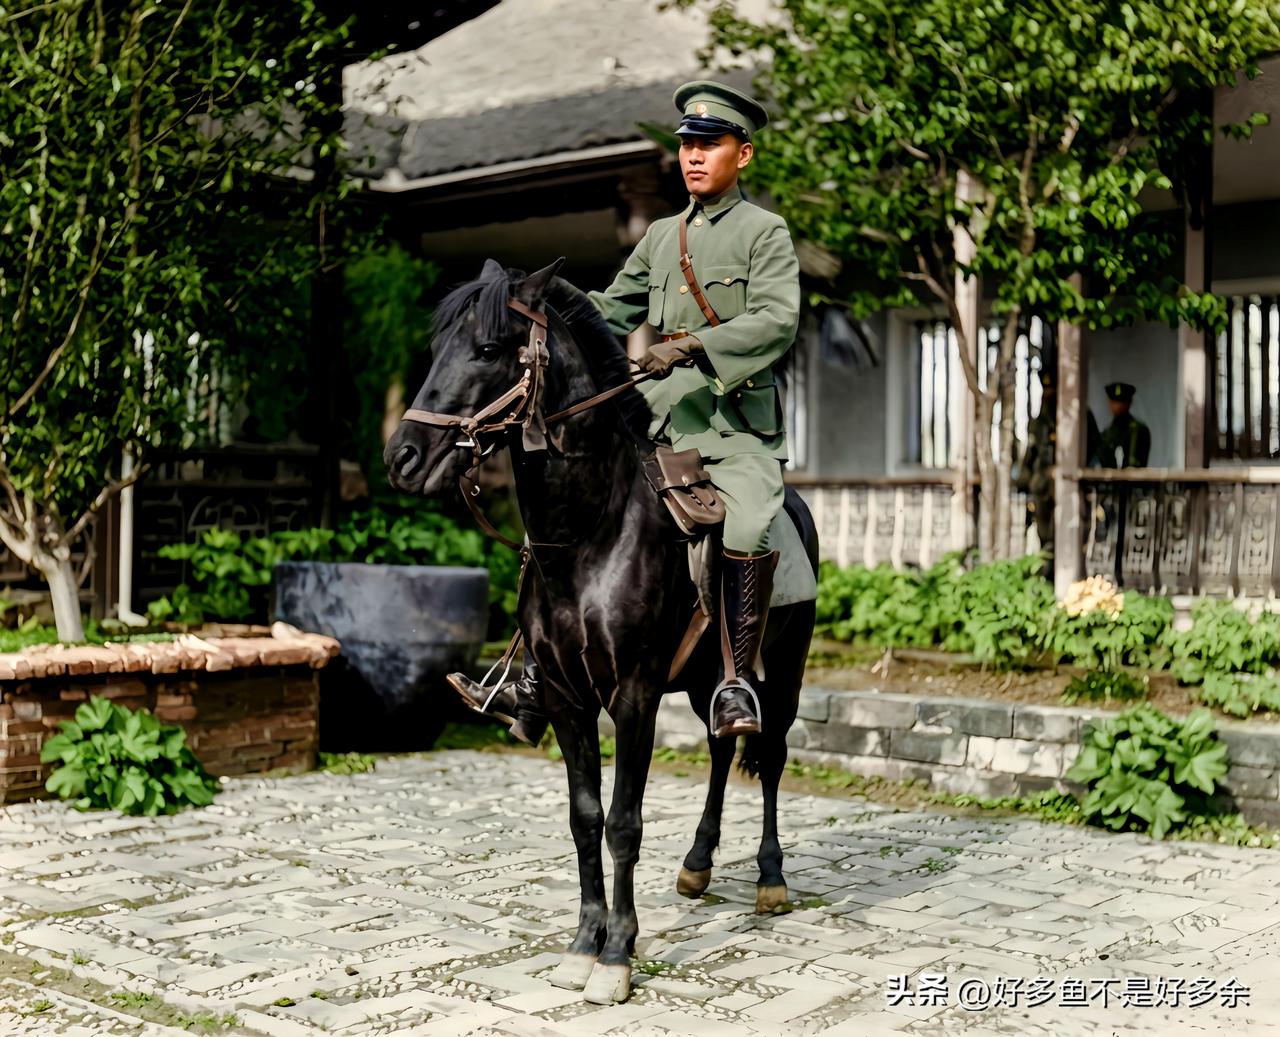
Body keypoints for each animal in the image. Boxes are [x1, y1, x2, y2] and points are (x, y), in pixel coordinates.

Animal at [384, 258, 818, 1005]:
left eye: (490, 349)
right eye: (439, 344)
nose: (405, 456)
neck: (590, 529)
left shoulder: (634, 695)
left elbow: (623, 822)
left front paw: (617, 955)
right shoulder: (566, 696)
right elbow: (584, 817)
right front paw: (584, 943)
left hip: (783, 668)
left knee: (770, 754)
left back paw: (769, 877)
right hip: (705, 678)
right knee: (721, 747)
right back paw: (698, 863)